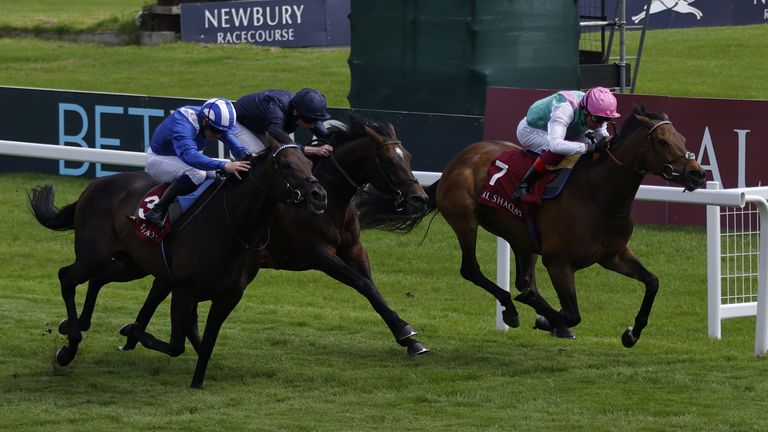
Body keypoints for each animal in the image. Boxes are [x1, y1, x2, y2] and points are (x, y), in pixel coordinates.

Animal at [27, 138, 324, 388]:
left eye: (310, 164)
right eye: (286, 165)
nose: (319, 195)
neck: (233, 227)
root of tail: (94, 186)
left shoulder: (228, 296)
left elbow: (206, 340)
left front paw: (197, 383)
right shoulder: (184, 288)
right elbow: (176, 345)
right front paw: (131, 332)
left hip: (132, 264)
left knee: (98, 278)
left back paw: (74, 325)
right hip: (93, 256)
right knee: (66, 276)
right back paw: (69, 346)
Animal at [360, 108, 708, 348]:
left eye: (683, 139)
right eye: (662, 141)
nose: (697, 174)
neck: (598, 195)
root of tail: (455, 163)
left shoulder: (614, 255)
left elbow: (652, 282)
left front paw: (632, 333)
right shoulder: (559, 263)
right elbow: (572, 313)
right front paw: (546, 319)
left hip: (521, 237)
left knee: (524, 279)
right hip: (464, 219)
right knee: (472, 270)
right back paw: (513, 309)